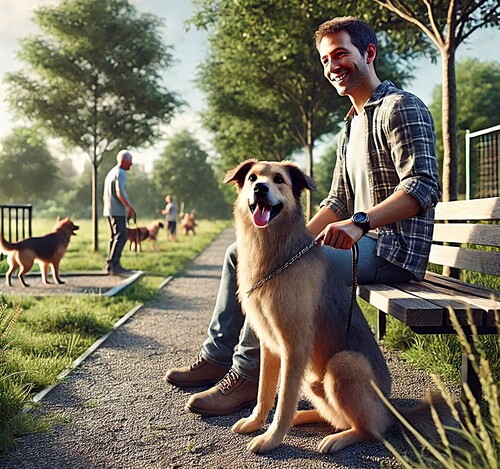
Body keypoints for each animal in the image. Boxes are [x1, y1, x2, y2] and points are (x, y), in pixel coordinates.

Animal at [225, 160, 452, 454]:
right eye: (252, 178)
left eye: (278, 179)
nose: (260, 189)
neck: (276, 255)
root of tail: (391, 410)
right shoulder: (270, 346)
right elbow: (264, 391)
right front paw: (256, 422)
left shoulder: (294, 348)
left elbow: (284, 399)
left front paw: (272, 438)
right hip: (314, 380)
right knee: (336, 418)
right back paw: (304, 418)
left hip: (343, 364)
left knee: (370, 430)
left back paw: (337, 438)